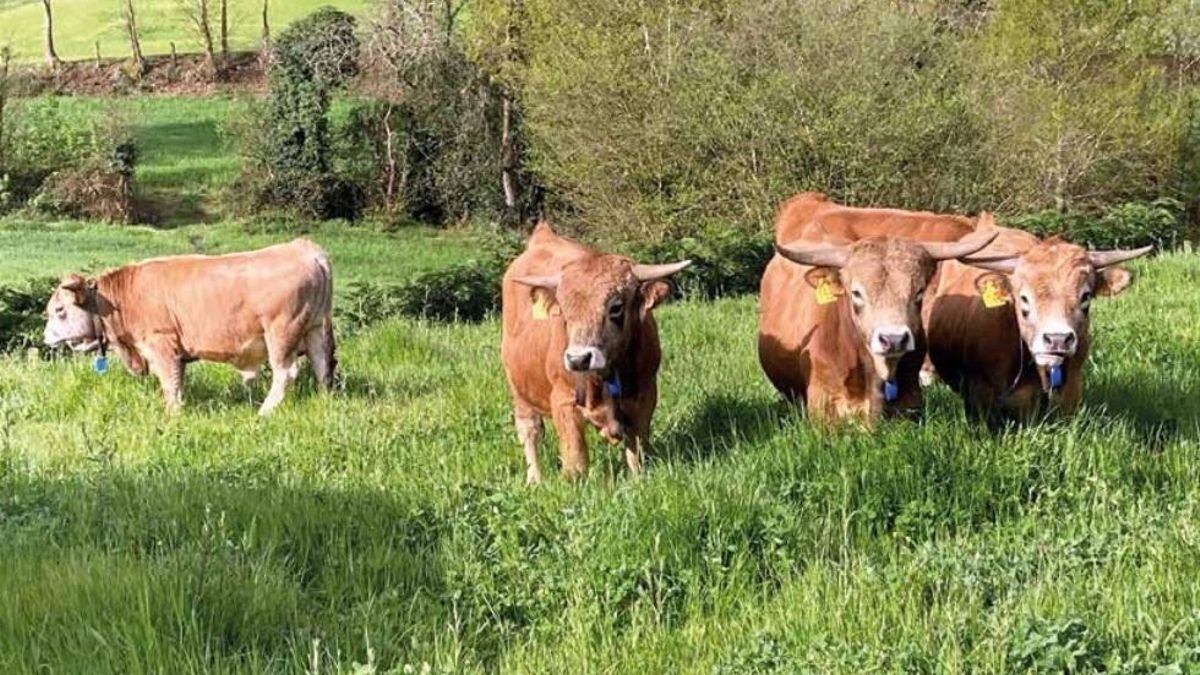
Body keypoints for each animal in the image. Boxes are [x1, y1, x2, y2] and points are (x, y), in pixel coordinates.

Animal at [43, 239, 333, 413]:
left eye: (59, 310)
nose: (46, 337)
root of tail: (303, 248)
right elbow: (178, 382)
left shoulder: (161, 344)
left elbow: (170, 384)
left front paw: (171, 416)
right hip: (315, 328)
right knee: (322, 367)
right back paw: (323, 402)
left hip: (281, 333)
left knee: (286, 373)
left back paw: (264, 412)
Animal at [499, 222, 691, 482]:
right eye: (564, 311)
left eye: (616, 307)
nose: (578, 359)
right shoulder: (563, 403)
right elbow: (576, 461)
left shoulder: (645, 396)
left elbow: (637, 452)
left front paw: (638, 480)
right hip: (519, 390)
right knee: (530, 431)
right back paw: (535, 480)